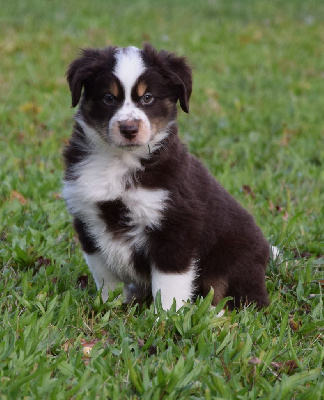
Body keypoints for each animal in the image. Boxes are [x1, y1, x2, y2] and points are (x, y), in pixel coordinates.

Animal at [62, 44, 270, 312]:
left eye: (148, 98)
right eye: (109, 98)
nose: (129, 129)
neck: (120, 161)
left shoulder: (175, 225)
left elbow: (170, 283)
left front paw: (168, 317)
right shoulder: (89, 221)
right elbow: (105, 275)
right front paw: (110, 305)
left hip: (234, 262)